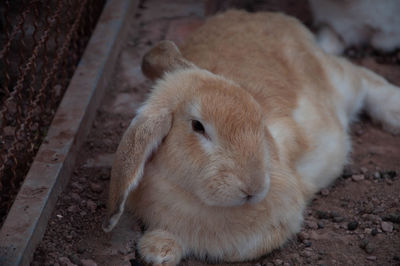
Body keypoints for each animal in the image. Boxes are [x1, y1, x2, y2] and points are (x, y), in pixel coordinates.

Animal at [102, 9, 400, 264]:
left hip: (338, 80)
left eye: (259, 120)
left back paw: (394, 113)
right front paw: (158, 251)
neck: (192, 197)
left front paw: (157, 248)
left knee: (363, 77)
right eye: (198, 126)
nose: (254, 187)